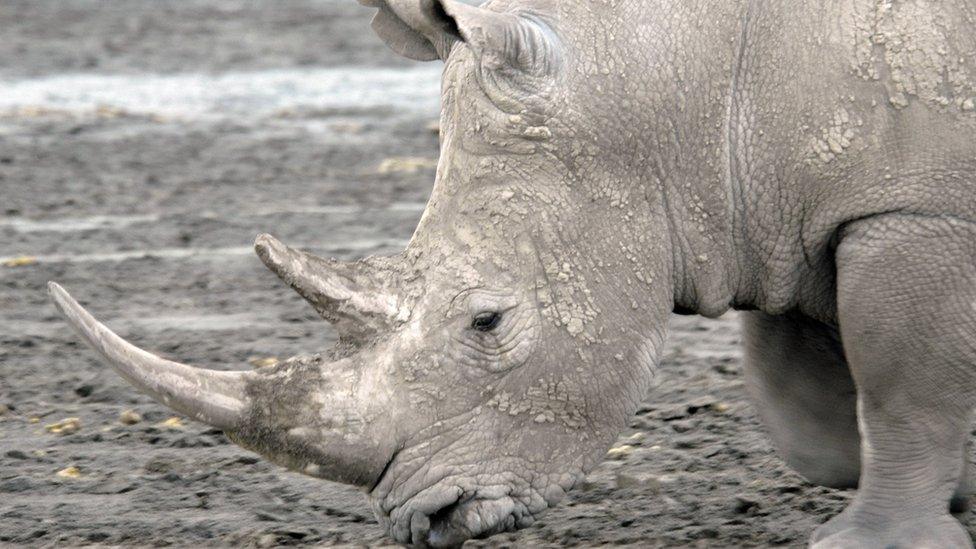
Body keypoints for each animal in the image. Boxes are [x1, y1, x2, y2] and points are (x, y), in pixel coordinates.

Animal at [49, 0, 976, 544]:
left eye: (487, 320)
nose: (423, 519)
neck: (687, 85)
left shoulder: (916, 210)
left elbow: (899, 393)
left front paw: (878, 543)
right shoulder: (783, 214)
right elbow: (812, 417)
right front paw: (958, 489)